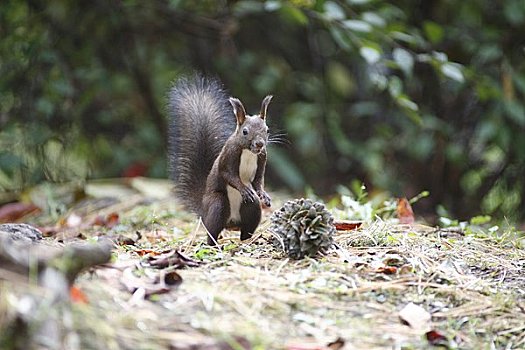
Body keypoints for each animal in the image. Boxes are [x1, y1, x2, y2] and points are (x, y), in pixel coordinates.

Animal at [168, 75, 272, 245]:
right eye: (245, 131)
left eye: (267, 130)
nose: (259, 144)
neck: (248, 152)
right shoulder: (228, 157)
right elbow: (229, 175)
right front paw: (244, 189)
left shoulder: (262, 157)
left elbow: (258, 180)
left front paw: (264, 195)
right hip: (218, 204)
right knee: (212, 230)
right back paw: (214, 245)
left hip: (251, 209)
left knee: (247, 225)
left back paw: (249, 240)